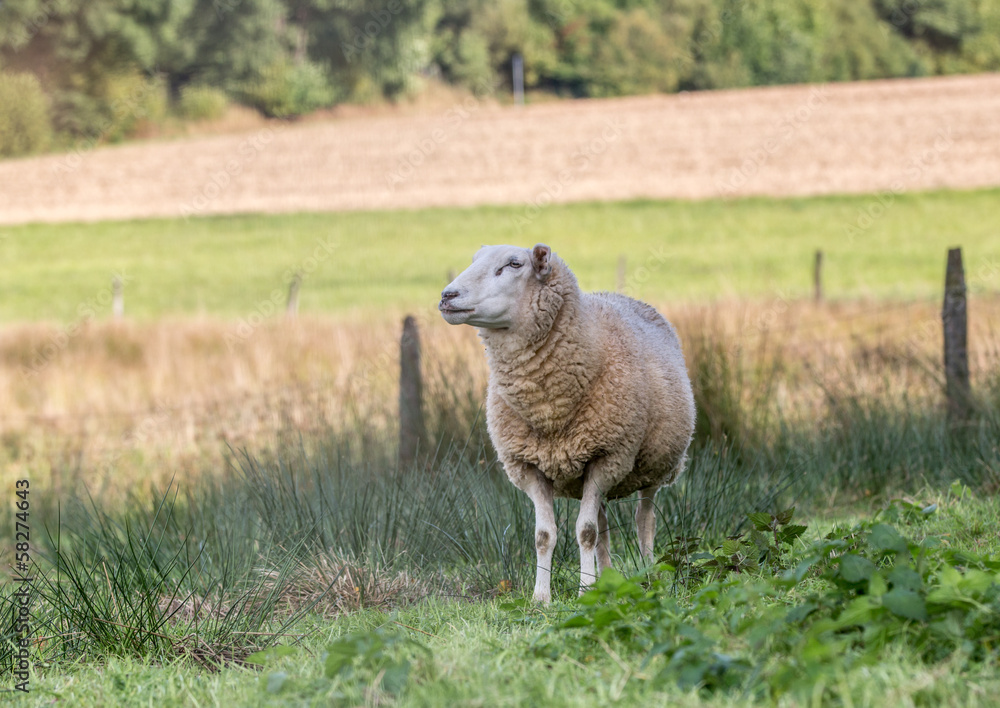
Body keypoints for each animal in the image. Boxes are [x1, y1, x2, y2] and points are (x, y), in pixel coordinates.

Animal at [439, 243, 696, 602]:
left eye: (514, 264)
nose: (448, 296)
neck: (549, 409)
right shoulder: (529, 466)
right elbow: (545, 534)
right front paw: (541, 597)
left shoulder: (608, 456)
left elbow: (585, 532)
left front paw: (584, 591)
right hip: (591, 471)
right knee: (603, 525)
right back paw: (607, 578)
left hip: (652, 465)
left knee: (644, 519)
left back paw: (648, 576)